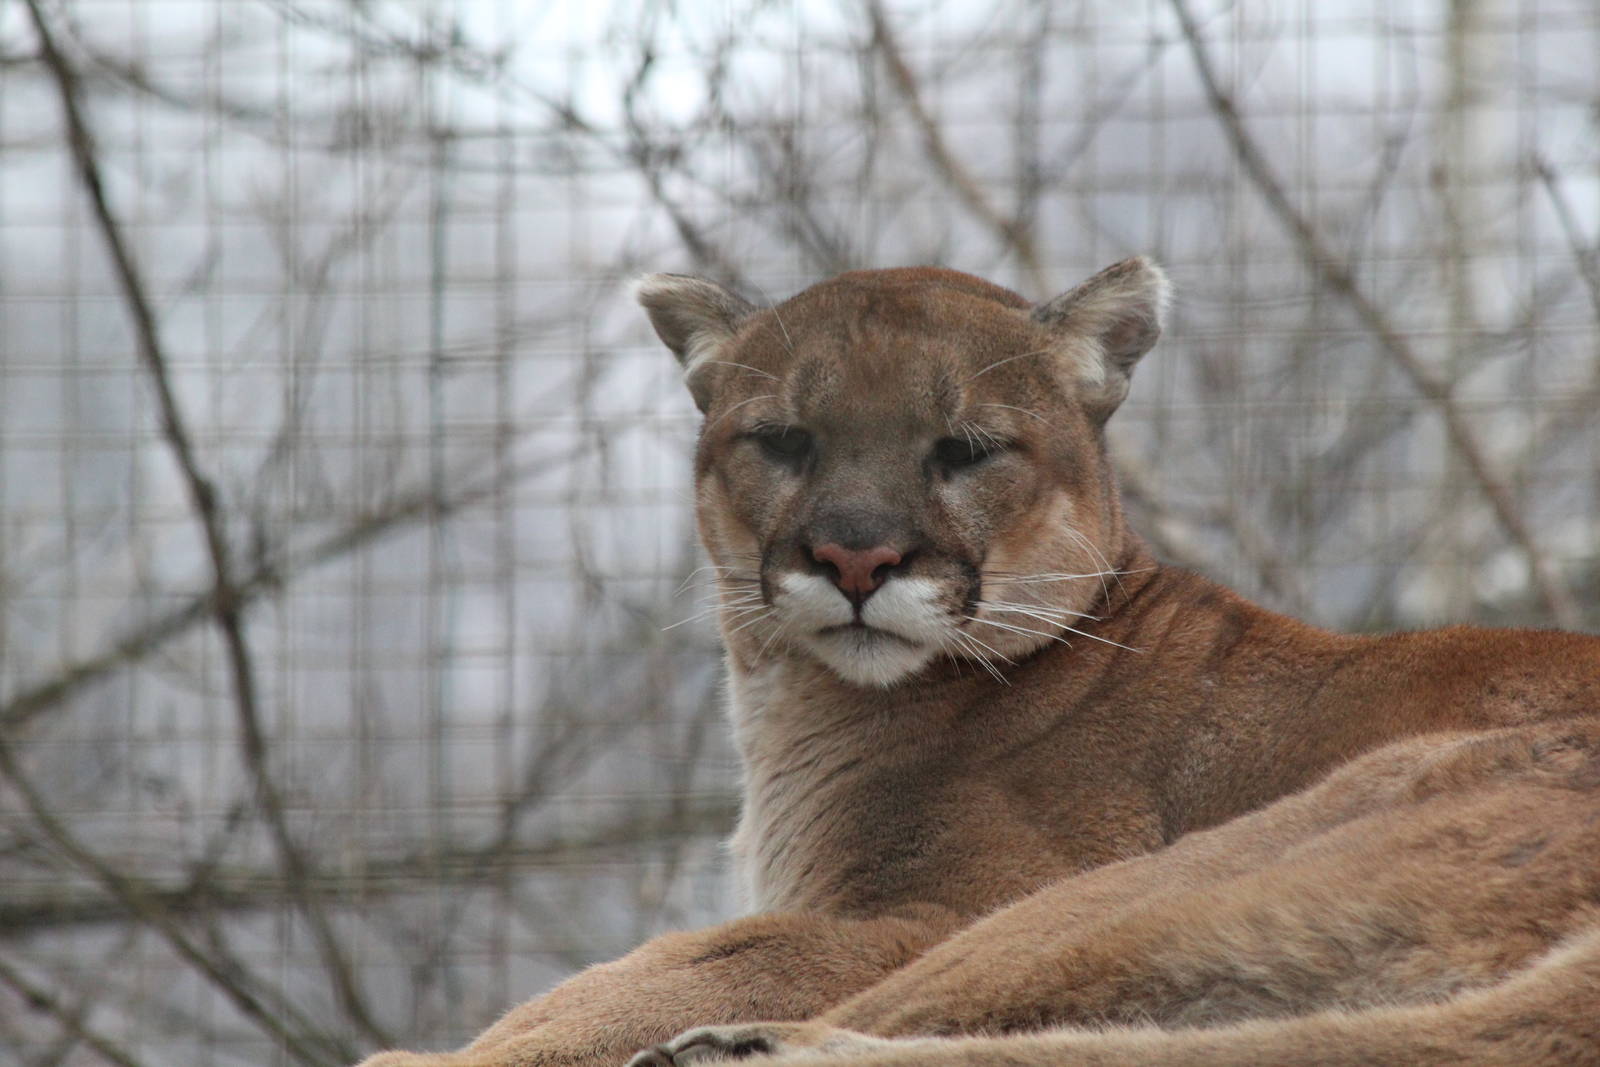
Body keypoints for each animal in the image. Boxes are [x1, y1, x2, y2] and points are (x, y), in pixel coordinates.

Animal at [357, 259, 1600, 1067]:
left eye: (963, 449)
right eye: (785, 440)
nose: (855, 555)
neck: (791, 709)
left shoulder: (932, 906)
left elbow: (679, 964)